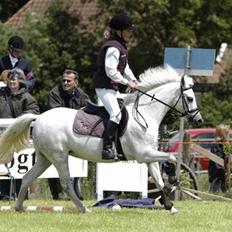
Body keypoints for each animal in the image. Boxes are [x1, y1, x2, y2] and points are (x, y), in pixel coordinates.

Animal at [0, 65, 203, 212]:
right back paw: (83, 209)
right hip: (59, 157)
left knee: (27, 177)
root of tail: (39, 118)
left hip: (45, 158)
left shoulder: (149, 155)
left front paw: (170, 205)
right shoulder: (143, 154)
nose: (199, 120)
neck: (145, 114)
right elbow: (172, 158)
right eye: (190, 98)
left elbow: (159, 178)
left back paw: (19, 207)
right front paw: (173, 182)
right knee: (66, 184)